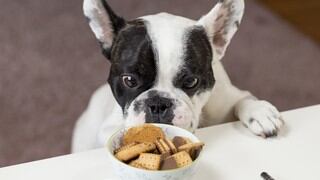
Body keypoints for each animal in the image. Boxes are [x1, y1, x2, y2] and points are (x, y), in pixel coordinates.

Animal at [71, 0, 284, 152]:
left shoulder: (227, 98)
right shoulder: (107, 129)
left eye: (191, 81)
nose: (158, 104)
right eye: (129, 80)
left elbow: (243, 99)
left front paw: (259, 112)